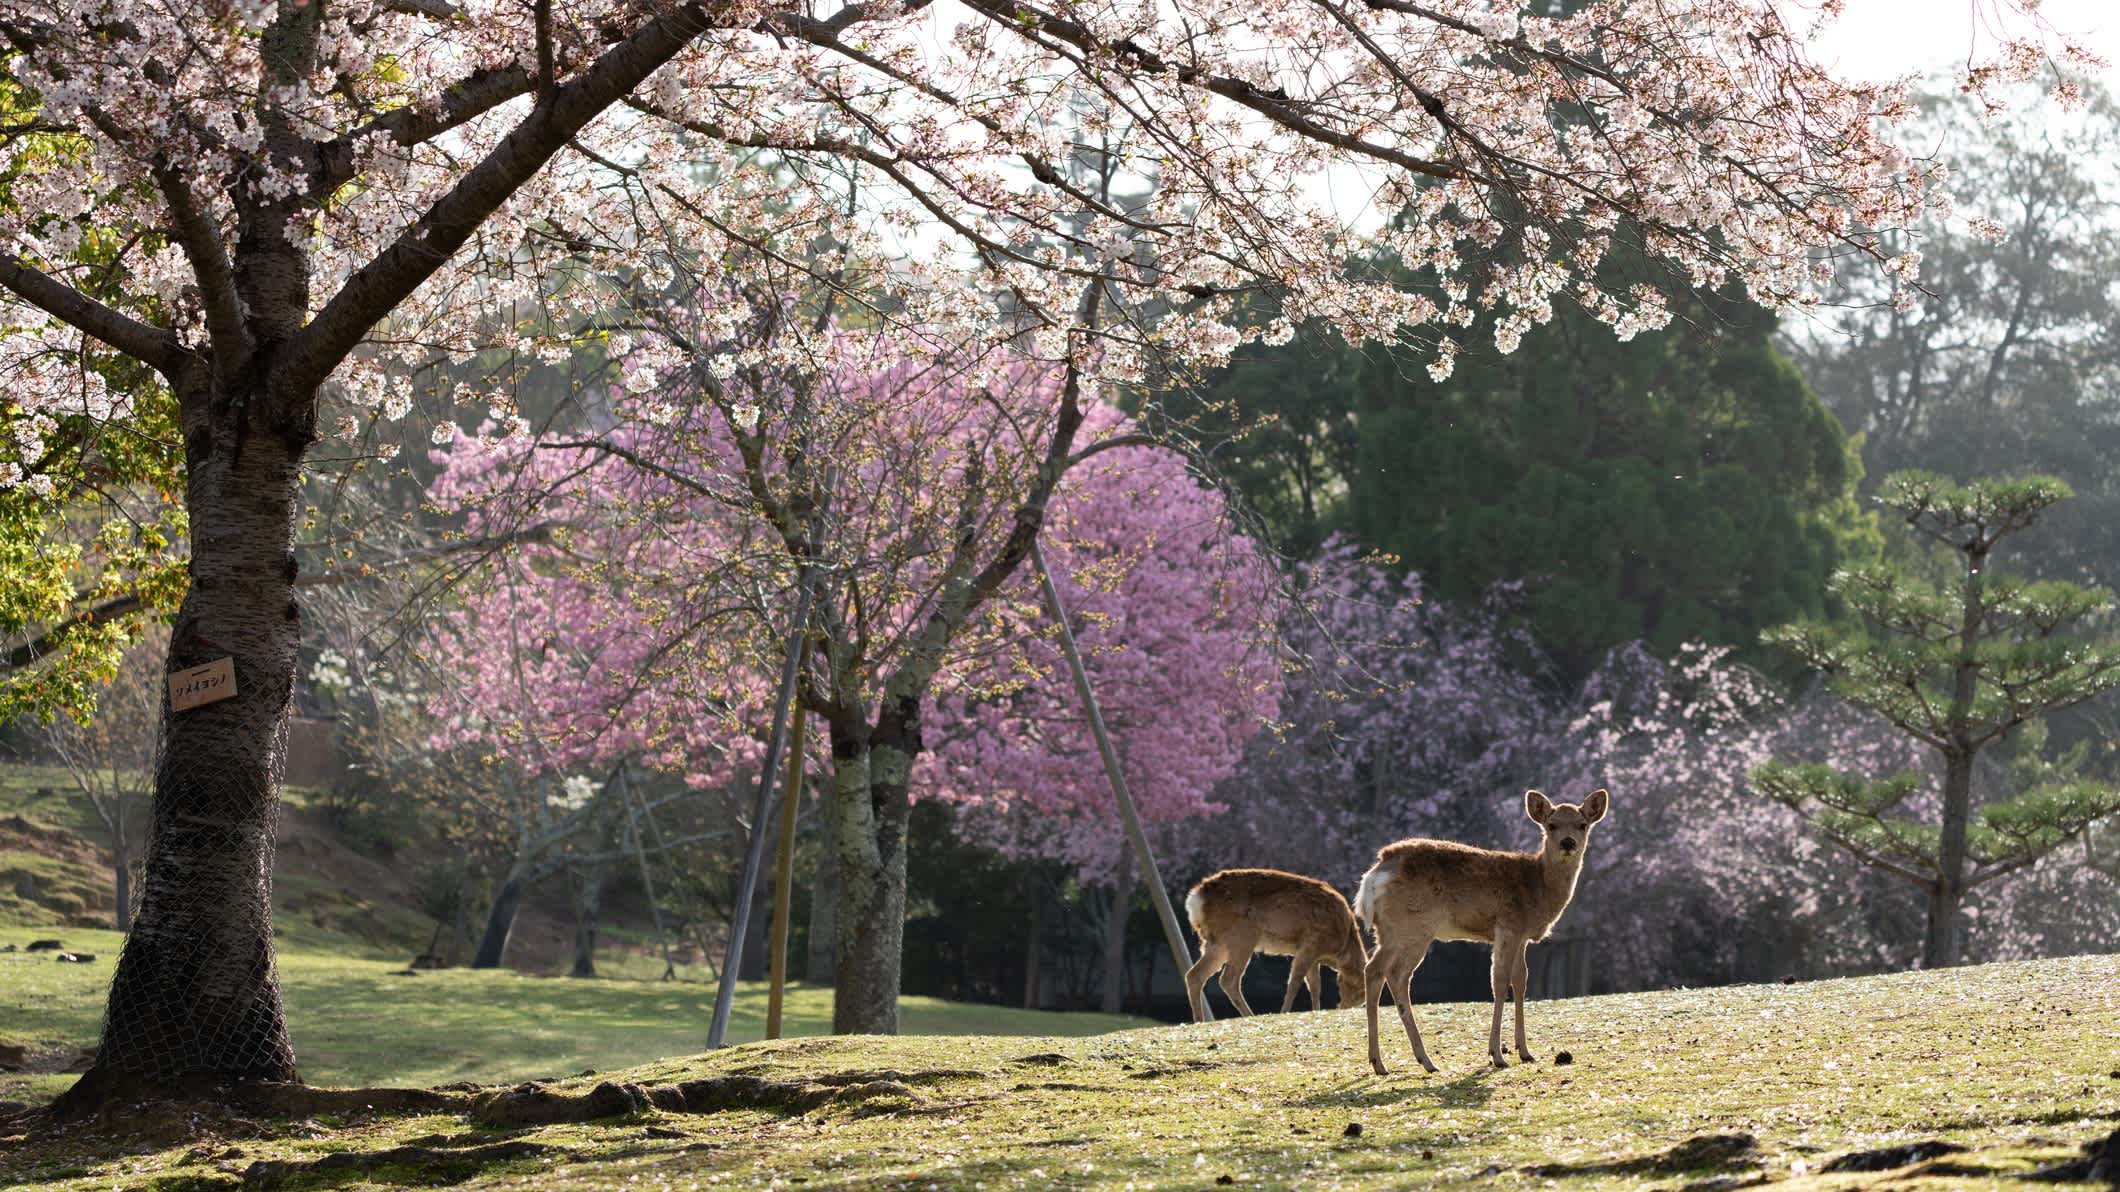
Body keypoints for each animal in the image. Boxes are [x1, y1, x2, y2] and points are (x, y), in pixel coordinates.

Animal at [1187, 861, 1365, 1022]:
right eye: (1360, 991)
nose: (1343, 1007)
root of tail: (1194, 900)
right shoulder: (1311, 944)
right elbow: (1295, 981)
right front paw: (1284, 1011)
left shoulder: (1313, 956)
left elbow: (1315, 986)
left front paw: (1316, 1010)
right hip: (1241, 937)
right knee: (1228, 979)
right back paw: (1250, 1015)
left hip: (1216, 943)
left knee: (1194, 975)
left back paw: (1199, 1020)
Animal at [1356, 784, 1602, 1073]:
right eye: (1551, 825)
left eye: (1582, 824)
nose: (1568, 842)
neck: (1537, 888)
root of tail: (1374, 875)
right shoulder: (1508, 925)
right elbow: (1500, 981)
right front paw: (1497, 1055)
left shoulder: (1522, 936)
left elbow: (1521, 981)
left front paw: (1525, 1051)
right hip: (1412, 927)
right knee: (1395, 974)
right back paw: (1423, 1061)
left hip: (1387, 930)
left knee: (1374, 970)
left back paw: (1380, 1062)